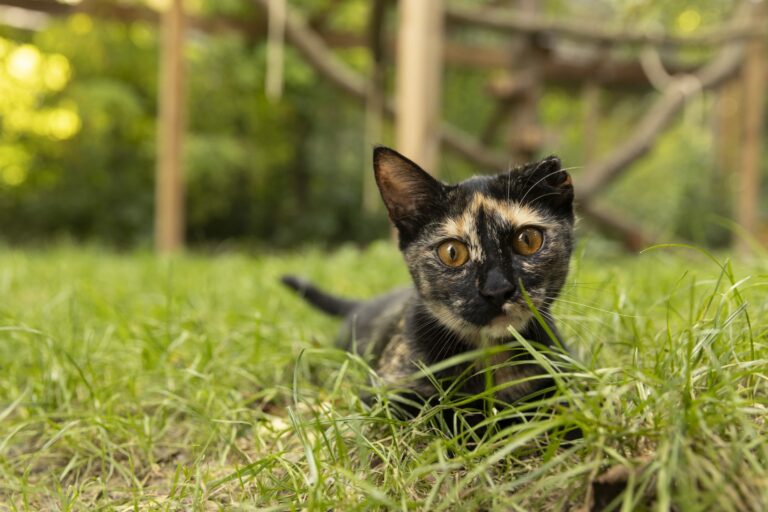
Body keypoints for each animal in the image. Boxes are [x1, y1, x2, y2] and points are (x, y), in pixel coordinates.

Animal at [284, 146, 572, 418]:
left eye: (528, 240)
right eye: (452, 253)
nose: (497, 289)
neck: (491, 354)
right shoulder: (384, 392)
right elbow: (438, 412)